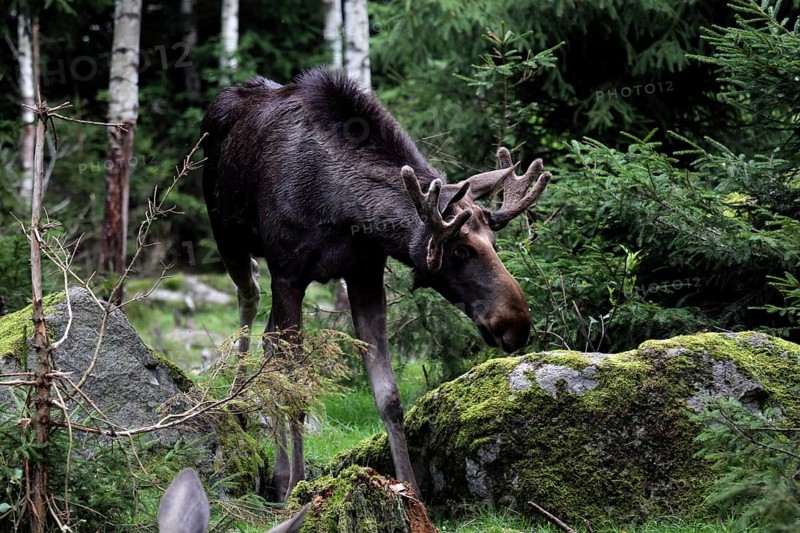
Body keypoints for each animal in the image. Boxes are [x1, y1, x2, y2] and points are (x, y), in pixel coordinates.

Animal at [202, 68, 552, 502]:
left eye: (494, 241)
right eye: (458, 250)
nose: (516, 324)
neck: (341, 207)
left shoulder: (366, 275)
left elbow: (389, 396)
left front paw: (411, 491)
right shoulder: (288, 273)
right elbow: (298, 386)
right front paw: (299, 489)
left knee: (271, 341)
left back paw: (279, 471)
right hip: (226, 234)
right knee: (249, 298)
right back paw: (237, 408)